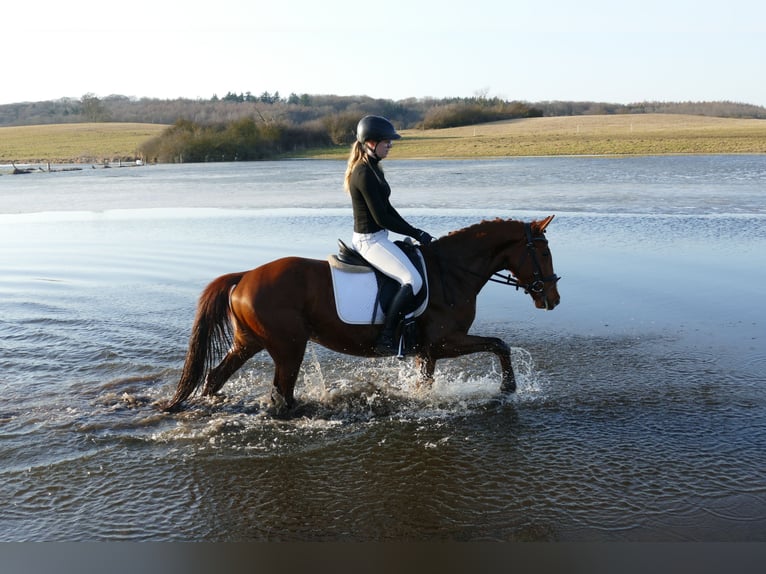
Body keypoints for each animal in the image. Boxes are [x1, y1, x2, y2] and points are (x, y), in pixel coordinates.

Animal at [162, 215, 560, 412]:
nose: (553, 299)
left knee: (216, 378)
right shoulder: (445, 341)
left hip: (250, 342)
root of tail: (244, 276)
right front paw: (508, 388)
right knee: (281, 395)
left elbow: (426, 383)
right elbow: (499, 344)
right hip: (288, 348)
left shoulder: (428, 351)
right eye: (543, 253)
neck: (452, 271)